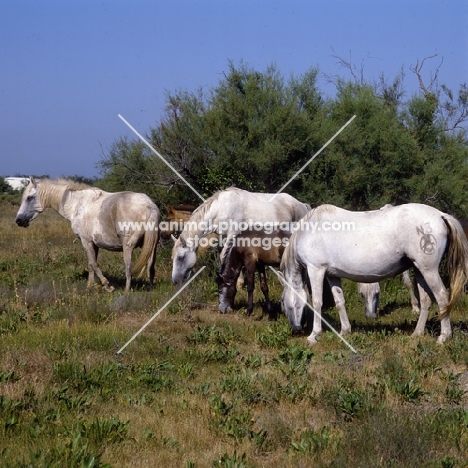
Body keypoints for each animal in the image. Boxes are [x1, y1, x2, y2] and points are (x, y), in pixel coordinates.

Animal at [16, 176, 161, 290]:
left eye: (29, 198)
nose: (18, 220)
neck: (76, 205)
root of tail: (149, 206)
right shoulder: (93, 244)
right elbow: (91, 264)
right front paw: (90, 286)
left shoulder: (86, 241)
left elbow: (94, 264)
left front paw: (107, 285)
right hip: (152, 248)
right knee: (150, 267)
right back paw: (149, 288)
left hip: (128, 247)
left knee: (128, 268)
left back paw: (126, 291)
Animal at [172, 187, 310, 288]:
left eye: (180, 257)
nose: (175, 282)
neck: (221, 209)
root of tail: (302, 205)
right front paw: (239, 282)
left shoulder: (232, 235)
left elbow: (223, 256)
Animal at [280, 203, 468, 346]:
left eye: (284, 303)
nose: (296, 329)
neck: (310, 229)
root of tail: (440, 215)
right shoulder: (332, 275)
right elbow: (340, 301)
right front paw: (345, 331)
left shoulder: (316, 270)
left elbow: (317, 302)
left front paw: (314, 335)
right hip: (419, 269)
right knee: (426, 300)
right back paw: (417, 333)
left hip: (429, 269)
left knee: (442, 297)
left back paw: (443, 337)